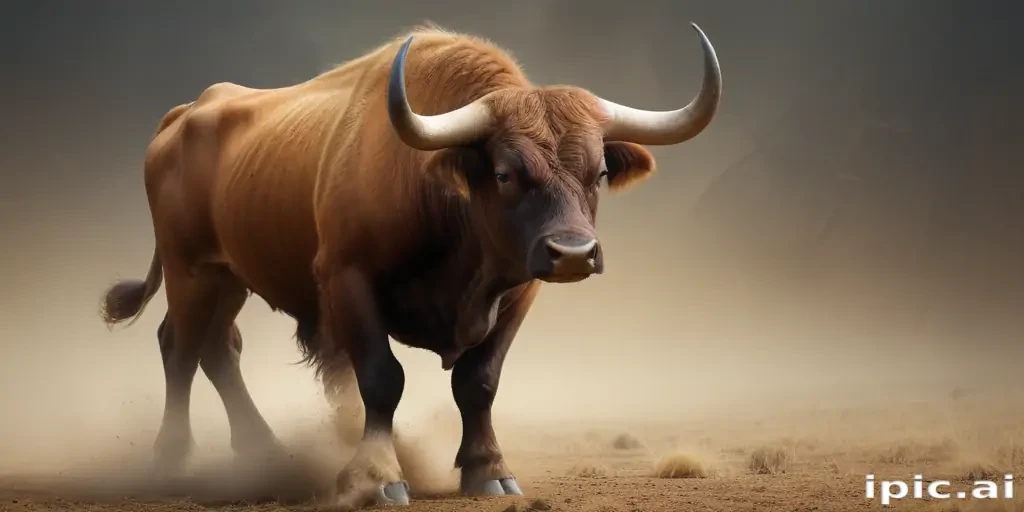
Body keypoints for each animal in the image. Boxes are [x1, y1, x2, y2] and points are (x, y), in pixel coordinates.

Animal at [99, 23, 722, 510]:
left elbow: (479, 381)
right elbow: (381, 377)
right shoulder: (348, 280)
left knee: (216, 348)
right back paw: (172, 459)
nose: (572, 253)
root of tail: (188, 113)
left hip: (231, 275)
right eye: (504, 172)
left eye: (599, 173)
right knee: (180, 347)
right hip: (189, 269)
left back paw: (265, 452)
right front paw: (377, 477)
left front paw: (489, 470)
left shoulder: (519, 292)